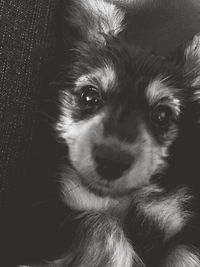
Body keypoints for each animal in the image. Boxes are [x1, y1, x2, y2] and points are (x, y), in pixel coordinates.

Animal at [29, 0, 200, 267]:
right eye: (89, 96)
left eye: (161, 115)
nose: (112, 162)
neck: (120, 198)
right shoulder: (50, 217)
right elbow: (103, 226)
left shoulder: (178, 221)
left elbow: (185, 253)